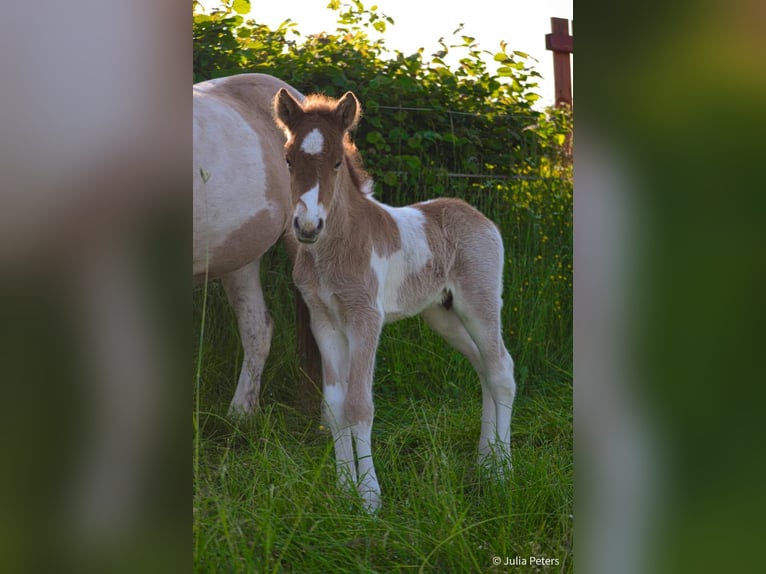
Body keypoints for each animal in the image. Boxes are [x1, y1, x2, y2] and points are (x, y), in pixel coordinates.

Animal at [272, 89, 520, 512]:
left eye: (336, 161)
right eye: (288, 158)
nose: (306, 227)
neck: (335, 248)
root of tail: (475, 214)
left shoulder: (365, 318)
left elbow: (359, 405)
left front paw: (370, 498)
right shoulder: (324, 320)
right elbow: (334, 407)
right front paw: (344, 490)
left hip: (479, 301)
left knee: (501, 369)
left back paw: (502, 471)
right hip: (442, 314)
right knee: (484, 367)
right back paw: (485, 462)